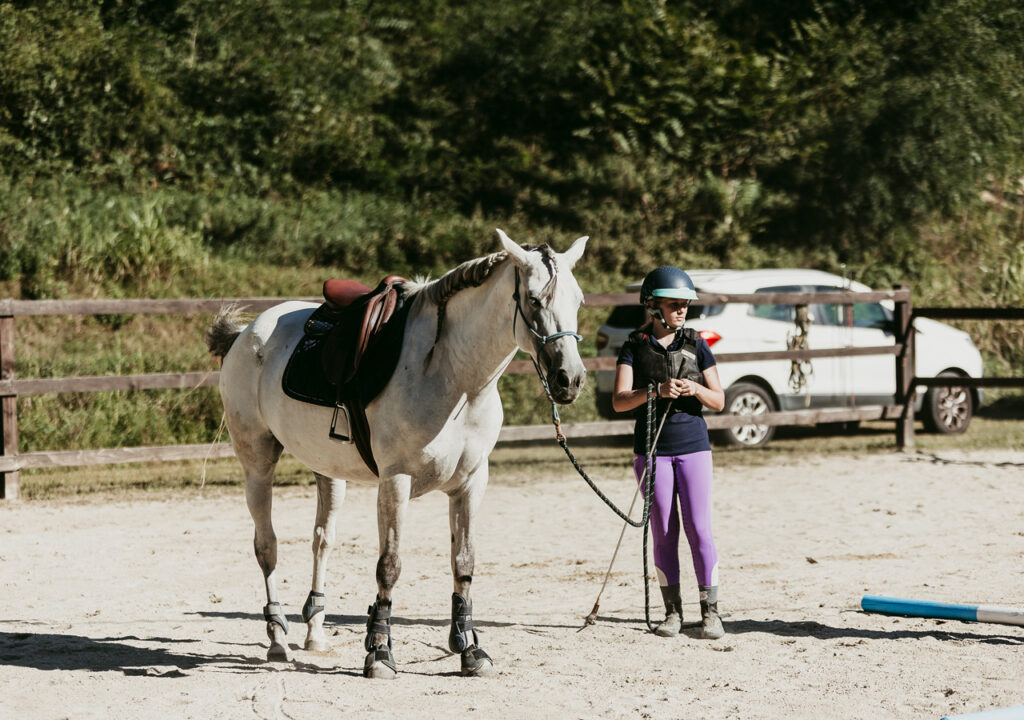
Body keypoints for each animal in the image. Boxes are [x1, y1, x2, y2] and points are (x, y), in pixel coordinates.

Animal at [204, 228, 589, 680]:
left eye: (578, 301)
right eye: (533, 300)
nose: (569, 379)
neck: (452, 376)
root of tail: (247, 333)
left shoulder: (471, 483)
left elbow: (464, 562)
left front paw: (469, 649)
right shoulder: (396, 481)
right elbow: (389, 565)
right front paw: (380, 651)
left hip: (327, 470)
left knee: (322, 540)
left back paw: (315, 631)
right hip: (258, 463)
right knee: (267, 547)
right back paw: (278, 638)